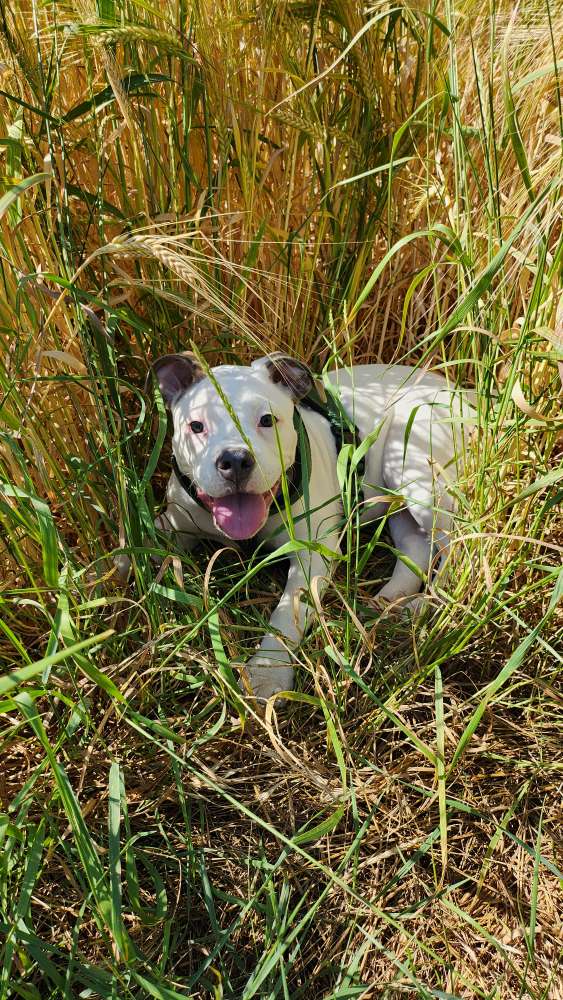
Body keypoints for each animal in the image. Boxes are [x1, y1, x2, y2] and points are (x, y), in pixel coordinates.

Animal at [118, 356, 472, 700]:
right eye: (196, 426)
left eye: (267, 420)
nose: (235, 459)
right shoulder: (173, 524)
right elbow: (128, 551)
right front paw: (108, 585)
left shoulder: (312, 555)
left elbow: (287, 613)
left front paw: (267, 672)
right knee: (417, 546)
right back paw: (390, 603)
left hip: (415, 466)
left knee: (456, 546)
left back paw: (425, 605)